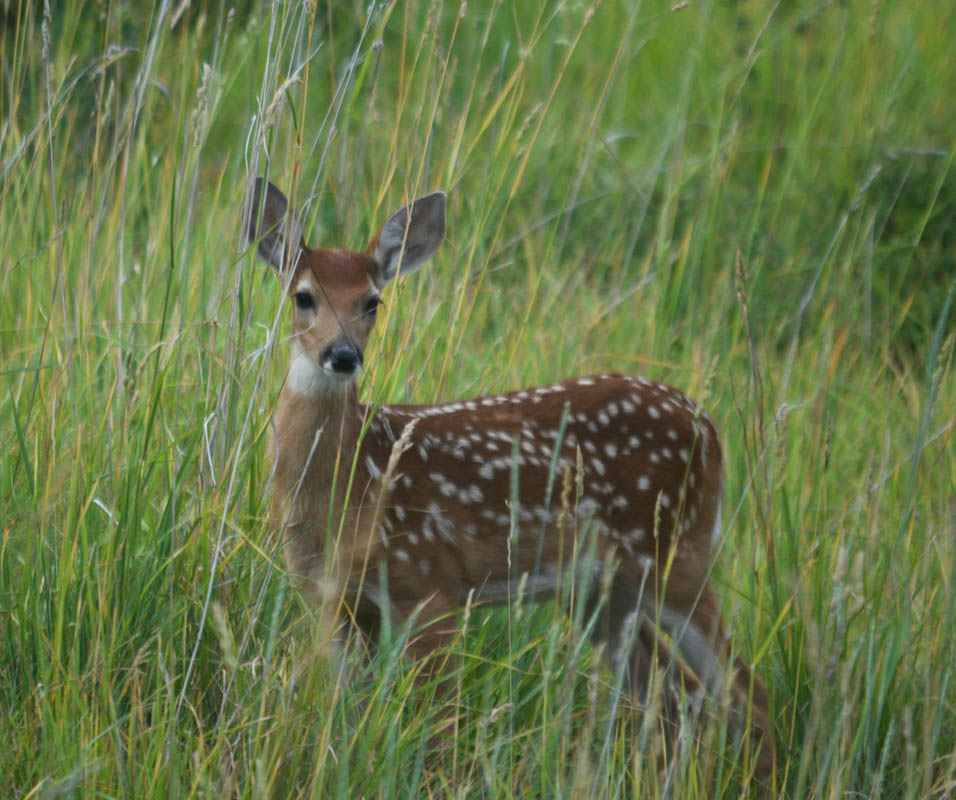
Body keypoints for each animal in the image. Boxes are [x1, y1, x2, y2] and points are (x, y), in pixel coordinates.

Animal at [245, 177, 775, 782]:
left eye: (372, 301)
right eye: (303, 296)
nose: (342, 354)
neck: (356, 481)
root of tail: (709, 426)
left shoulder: (430, 583)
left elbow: (439, 728)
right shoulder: (332, 602)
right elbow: (346, 717)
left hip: (676, 556)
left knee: (745, 693)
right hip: (599, 588)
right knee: (673, 694)